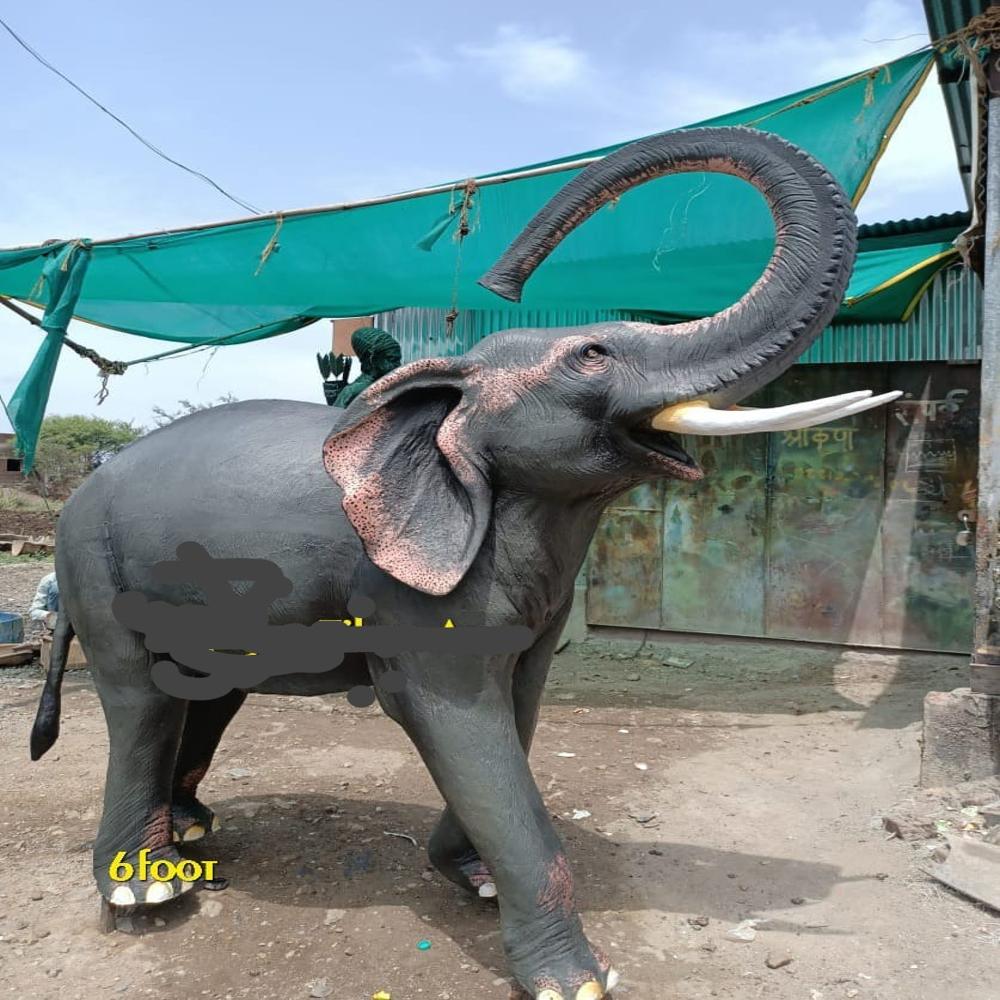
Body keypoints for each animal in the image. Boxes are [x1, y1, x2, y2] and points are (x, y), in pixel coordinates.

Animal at [29, 125, 899, 1000]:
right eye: (592, 353)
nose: (501, 277)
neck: (452, 385)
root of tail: (83, 485)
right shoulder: (404, 587)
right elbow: (451, 714)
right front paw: (576, 982)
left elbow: (519, 704)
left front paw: (472, 878)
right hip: (92, 565)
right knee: (141, 699)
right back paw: (147, 891)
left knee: (208, 690)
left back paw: (191, 828)